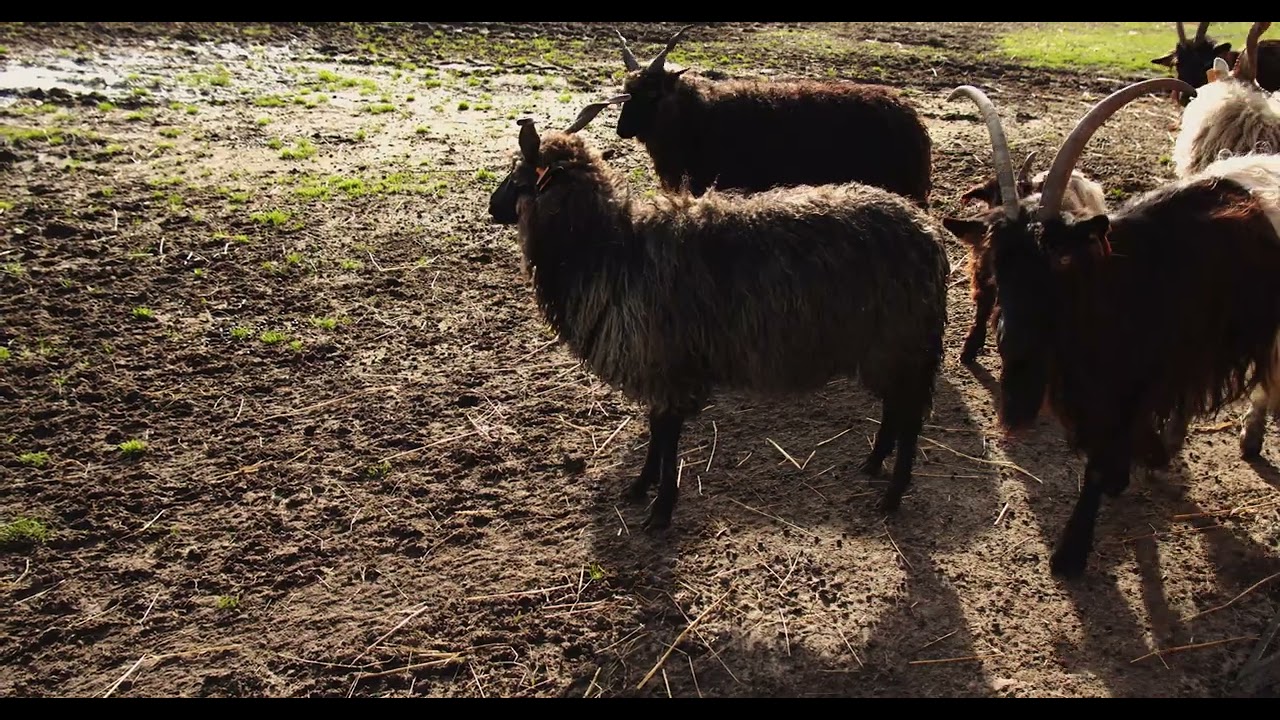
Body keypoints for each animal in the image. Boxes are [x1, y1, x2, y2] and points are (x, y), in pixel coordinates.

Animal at [487, 95, 951, 531]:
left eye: (518, 176)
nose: (492, 208)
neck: (605, 244)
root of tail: (928, 235)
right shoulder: (662, 368)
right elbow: (656, 431)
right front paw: (641, 488)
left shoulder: (666, 364)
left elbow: (667, 436)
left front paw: (660, 509)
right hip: (889, 348)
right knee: (894, 410)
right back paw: (872, 464)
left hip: (903, 341)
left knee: (909, 418)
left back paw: (891, 496)